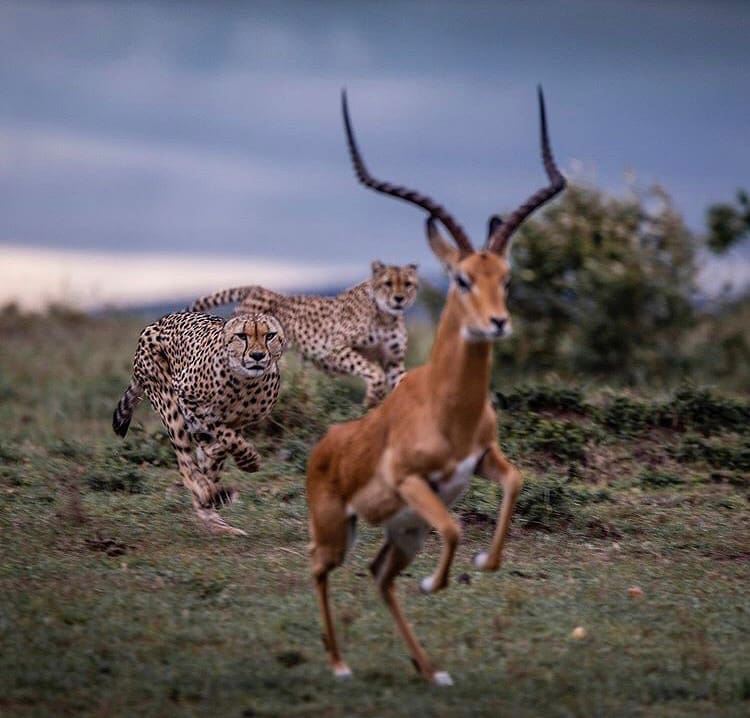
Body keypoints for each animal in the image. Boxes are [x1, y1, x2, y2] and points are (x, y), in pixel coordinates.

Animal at [113, 312, 286, 536]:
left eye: (270, 335)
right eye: (242, 336)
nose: (257, 355)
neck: (245, 383)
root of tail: (157, 322)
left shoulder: (242, 419)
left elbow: (226, 440)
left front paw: (225, 453)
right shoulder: (187, 400)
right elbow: (225, 434)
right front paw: (249, 461)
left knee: (205, 479)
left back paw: (218, 519)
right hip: (168, 402)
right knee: (186, 466)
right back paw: (207, 492)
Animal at [188, 262, 420, 408]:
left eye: (408, 284)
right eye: (388, 283)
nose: (399, 298)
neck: (386, 316)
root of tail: (257, 288)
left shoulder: (393, 361)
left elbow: (402, 380)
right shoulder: (334, 350)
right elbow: (373, 371)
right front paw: (372, 400)